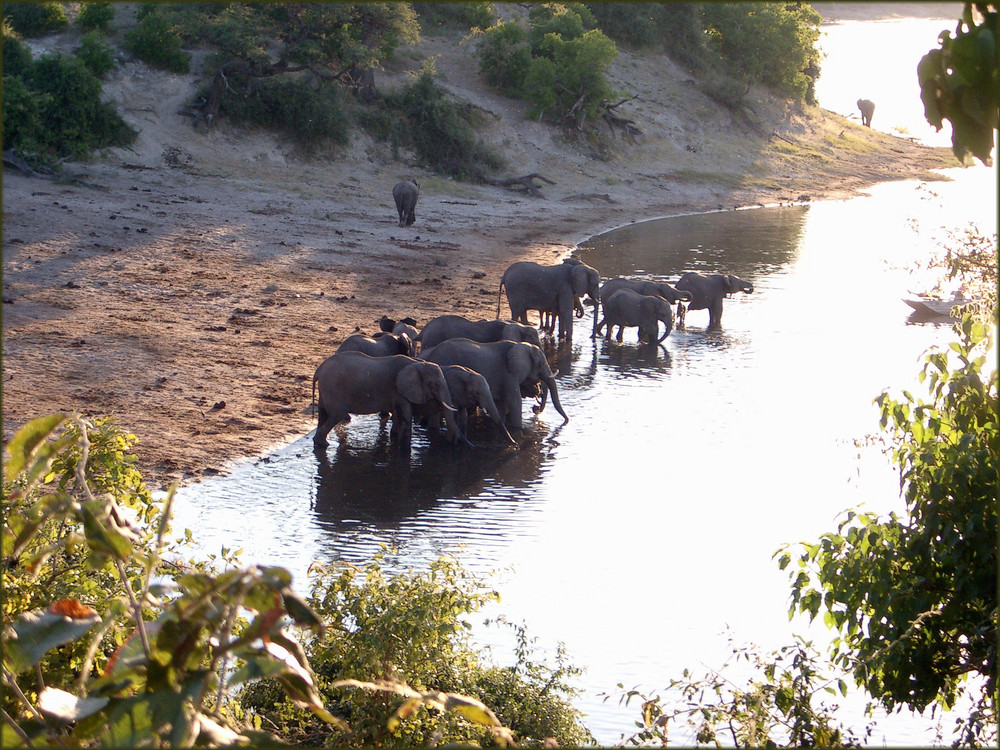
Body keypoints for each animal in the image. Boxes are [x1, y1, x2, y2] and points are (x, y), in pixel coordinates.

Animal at [312, 350, 460, 450]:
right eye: (435, 384)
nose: (452, 442)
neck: (418, 363)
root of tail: (319, 370)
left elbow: (398, 415)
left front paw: (395, 437)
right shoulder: (400, 390)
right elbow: (406, 416)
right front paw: (404, 450)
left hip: (325, 389)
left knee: (323, 414)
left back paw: (320, 443)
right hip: (333, 387)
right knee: (338, 414)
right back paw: (323, 443)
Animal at [418, 340, 568, 432]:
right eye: (541, 363)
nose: (535, 408)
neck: (519, 345)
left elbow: (501, 404)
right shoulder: (509, 374)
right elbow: (514, 402)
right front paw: (518, 430)